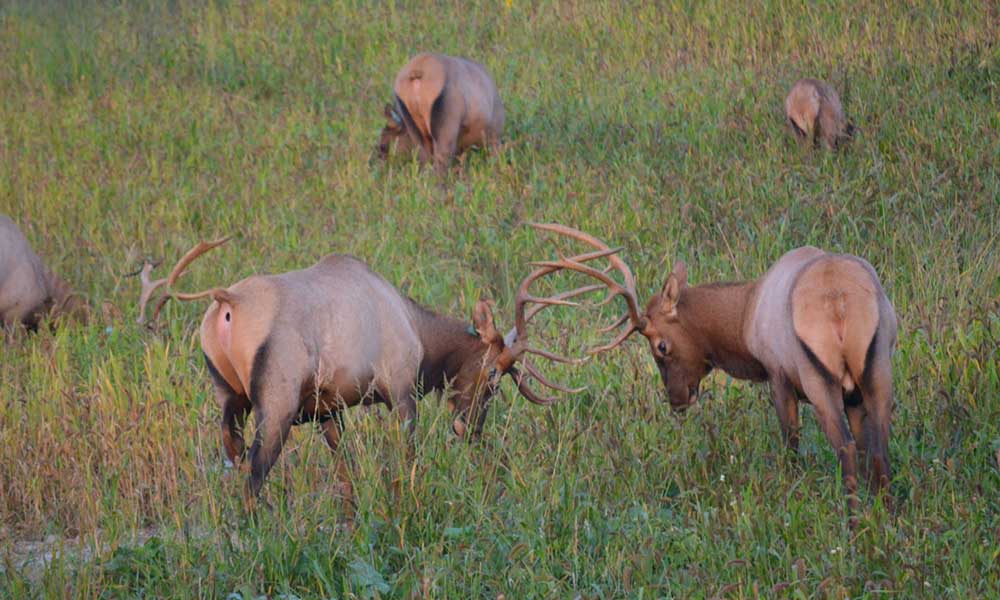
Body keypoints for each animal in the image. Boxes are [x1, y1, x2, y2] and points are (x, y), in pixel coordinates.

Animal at [137, 228, 611, 509]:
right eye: (493, 376)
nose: (470, 428)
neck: (421, 336)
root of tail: (226, 302)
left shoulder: (327, 408)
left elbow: (345, 474)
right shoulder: (400, 389)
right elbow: (407, 459)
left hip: (229, 398)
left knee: (233, 459)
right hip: (276, 404)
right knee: (254, 474)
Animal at [526, 225, 897, 521]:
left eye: (661, 346)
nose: (676, 399)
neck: (744, 320)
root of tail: (840, 303)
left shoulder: (778, 375)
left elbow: (790, 443)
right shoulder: (851, 394)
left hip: (818, 376)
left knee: (845, 448)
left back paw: (854, 523)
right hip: (877, 369)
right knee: (878, 448)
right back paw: (885, 518)